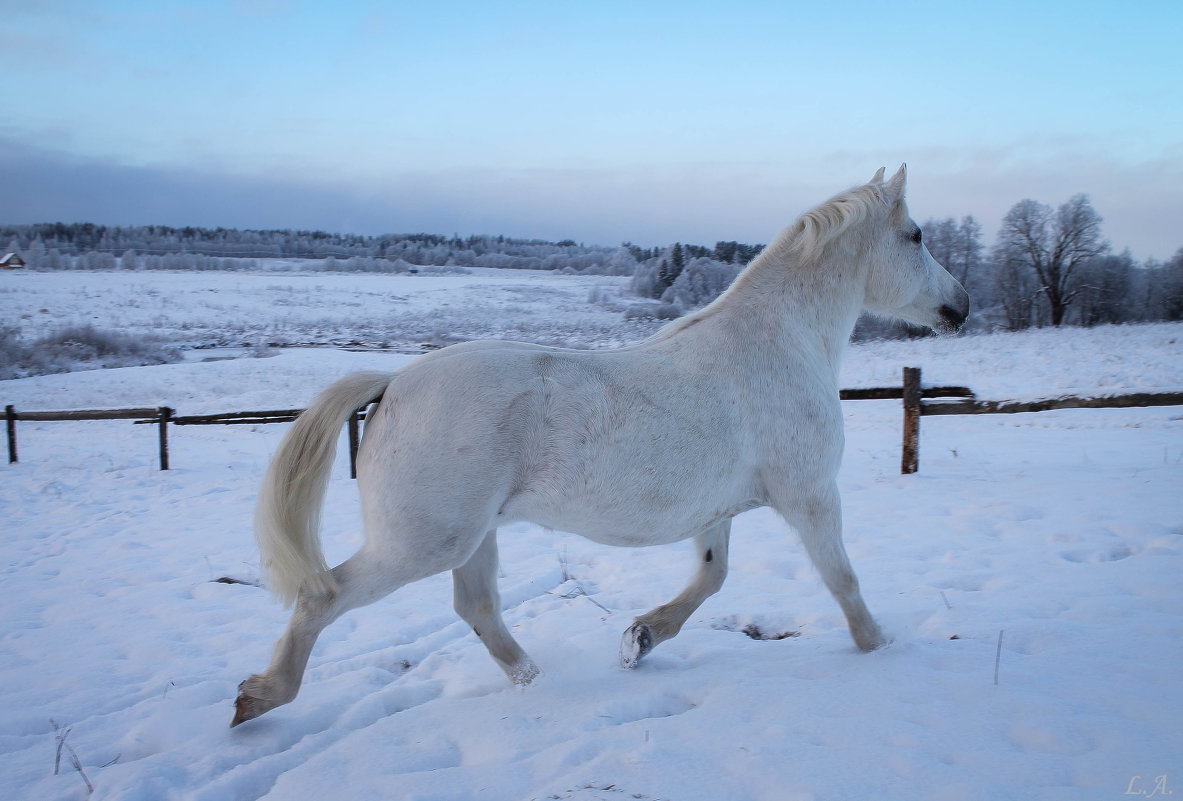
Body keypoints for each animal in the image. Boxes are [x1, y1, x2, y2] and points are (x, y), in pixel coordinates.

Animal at [233, 166, 970, 724]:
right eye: (915, 235)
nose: (959, 305)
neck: (779, 343)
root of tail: (393, 382)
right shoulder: (811, 495)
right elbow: (842, 579)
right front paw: (879, 646)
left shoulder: (718, 511)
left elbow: (711, 577)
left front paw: (640, 637)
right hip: (423, 542)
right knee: (324, 597)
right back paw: (259, 696)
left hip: (473, 537)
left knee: (476, 607)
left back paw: (536, 680)